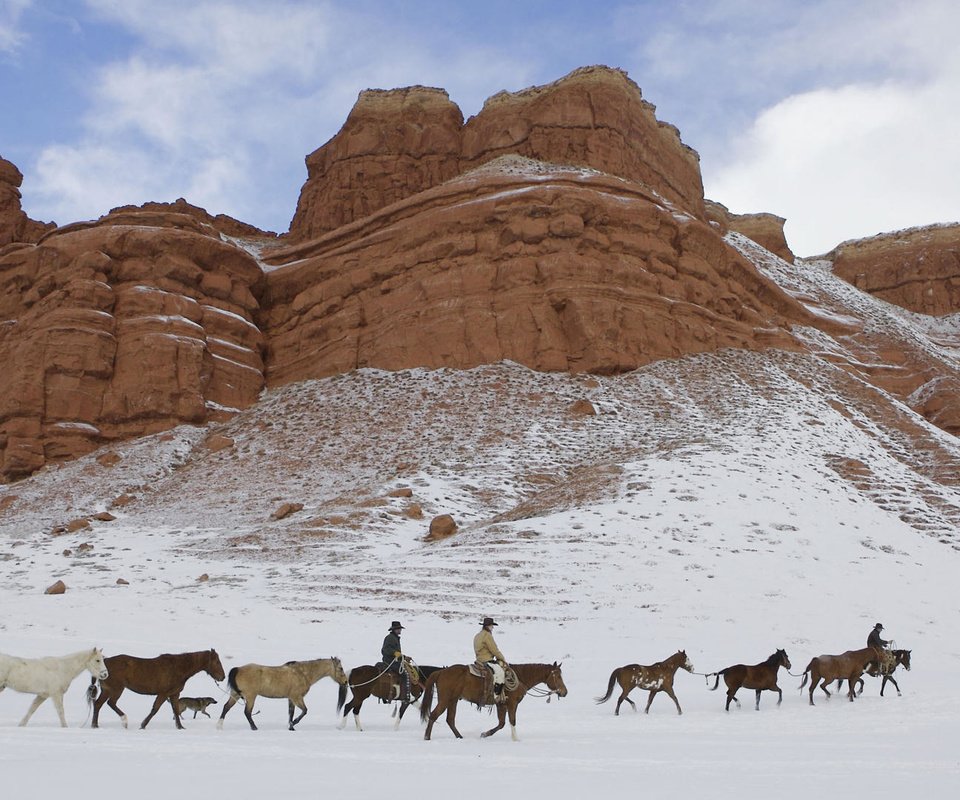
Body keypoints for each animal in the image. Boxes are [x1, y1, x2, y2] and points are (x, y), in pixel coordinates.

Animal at [89, 648, 225, 732]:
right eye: (217, 662)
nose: (223, 677)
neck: (178, 668)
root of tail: (104, 663)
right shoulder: (163, 693)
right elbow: (155, 709)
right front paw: (143, 725)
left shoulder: (174, 694)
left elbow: (176, 710)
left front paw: (180, 727)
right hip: (116, 689)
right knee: (109, 703)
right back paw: (123, 721)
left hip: (107, 690)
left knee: (98, 704)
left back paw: (95, 725)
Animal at [218, 656, 348, 732]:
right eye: (341, 668)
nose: (346, 682)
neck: (303, 673)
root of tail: (238, 669)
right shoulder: (297, 698)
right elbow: (304, 711)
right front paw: (294, 723)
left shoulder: (291, 699)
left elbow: (291, 713)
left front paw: (291, 727)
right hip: (250, 697)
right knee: (247, 712)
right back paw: (254, 728)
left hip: (235, 694)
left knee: (226, 707)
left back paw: (219, 726)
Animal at [418, 660, 568, 740]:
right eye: (558, 676)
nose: (564, 692)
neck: (520, 678)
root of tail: (441, 671)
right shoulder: (512, 704)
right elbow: (512, 721)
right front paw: (516, 739)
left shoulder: (501, 705)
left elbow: (501, 723)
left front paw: (485, 734)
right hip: (445, 700)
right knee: (434, 715)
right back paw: (427, 737)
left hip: (453, 701)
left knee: (450, 719)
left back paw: (460, 737)